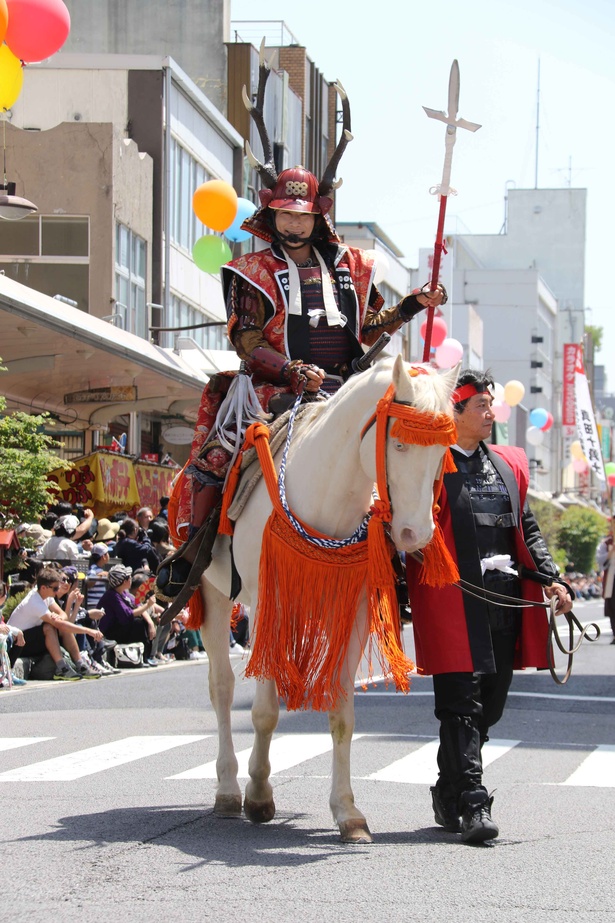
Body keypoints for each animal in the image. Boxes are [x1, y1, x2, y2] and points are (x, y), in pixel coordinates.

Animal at [195, 356, 460, 844]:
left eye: (441, 454)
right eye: (398, 444)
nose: (415, 535)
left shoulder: (352, 610)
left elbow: (341, 714)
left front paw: (348, 812)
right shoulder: (269, 605)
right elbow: (264, 711)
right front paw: (258, 794)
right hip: (214, 591)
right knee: (222, 687)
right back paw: (227, 789)